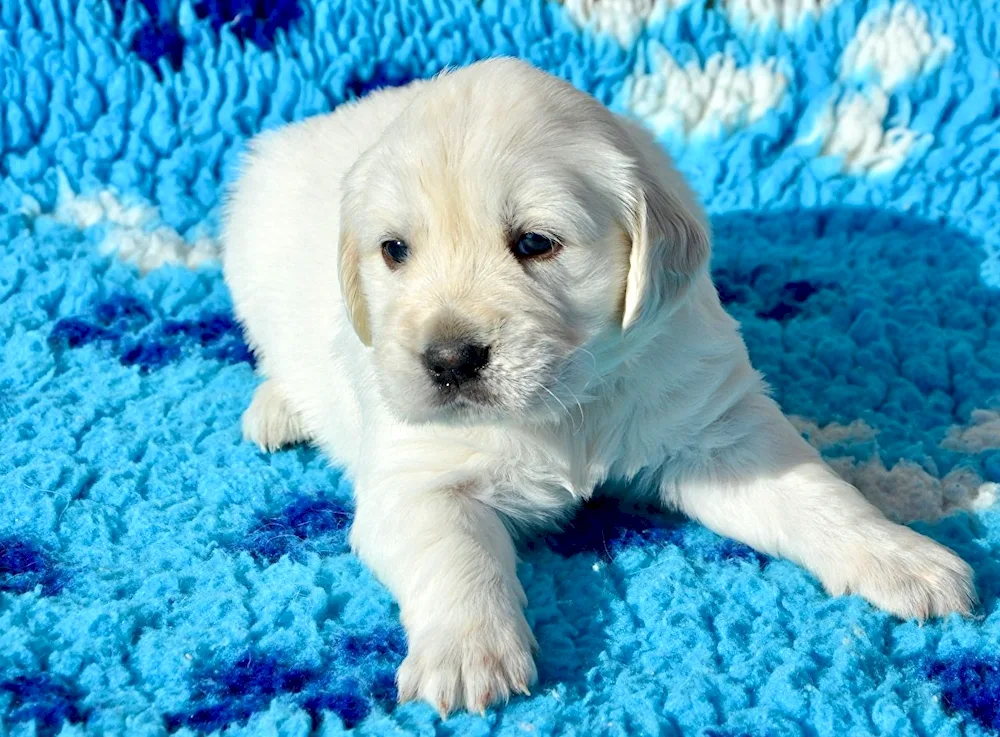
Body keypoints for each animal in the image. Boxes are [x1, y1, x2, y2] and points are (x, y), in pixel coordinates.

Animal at [221, 56, 976, 712]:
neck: (569, 399)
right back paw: (277, 407)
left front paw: (903, 557)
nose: (449, 359)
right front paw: (467, 652)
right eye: (394, 250)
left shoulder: (716, 427)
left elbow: (816, 496)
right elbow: (456, 553)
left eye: (534, 243)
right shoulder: (416, 478)